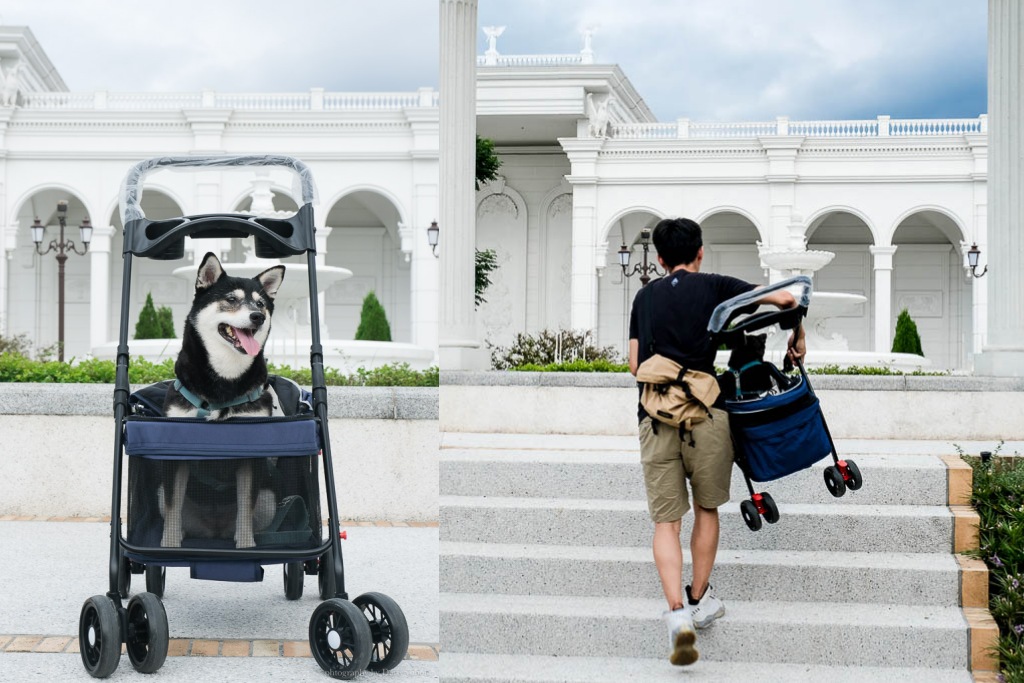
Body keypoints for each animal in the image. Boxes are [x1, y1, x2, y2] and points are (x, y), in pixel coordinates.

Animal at [159, 252, 288, 548]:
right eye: (231, 299)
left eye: (261, 304)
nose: (257, 316)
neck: (224, 381)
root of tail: (213, 530)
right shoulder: (174, 454)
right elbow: (172, 506)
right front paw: (169, 544)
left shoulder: (250, 455)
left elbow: (245, 507)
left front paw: (246, 546)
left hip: (269, 499)